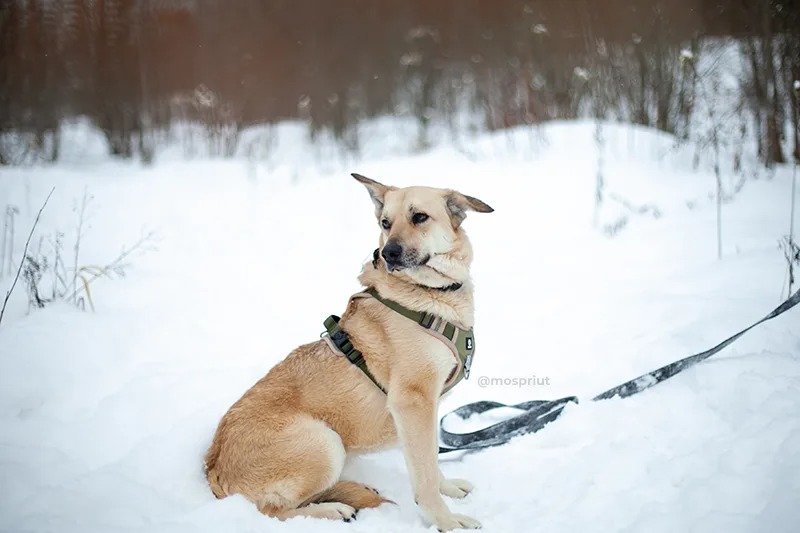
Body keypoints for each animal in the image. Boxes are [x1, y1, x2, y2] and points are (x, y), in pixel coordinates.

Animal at [205, 174, 494, 528]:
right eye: (385, 223)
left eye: (419, 217)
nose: (389, 253)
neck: (426, 294)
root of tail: (213, 466)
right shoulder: (413, 403)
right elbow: (425, 475)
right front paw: (447, 522)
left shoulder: (423, 411)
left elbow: (430, 462)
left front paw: (448, 488)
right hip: (324, 442)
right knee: (272, 510)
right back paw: (332, 510)